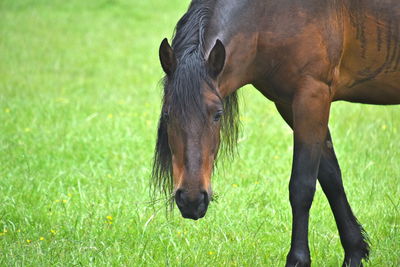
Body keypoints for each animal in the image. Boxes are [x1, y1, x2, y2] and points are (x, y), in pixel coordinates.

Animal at [152, 1, 400, 266]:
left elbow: (302, 185)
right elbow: (331, 177)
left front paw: (298, 259)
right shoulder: (288, 104)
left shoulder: (312, 96)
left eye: (218, 114)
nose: (191, 200)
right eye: (167, 114)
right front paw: (354, 251)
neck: (267, 16)